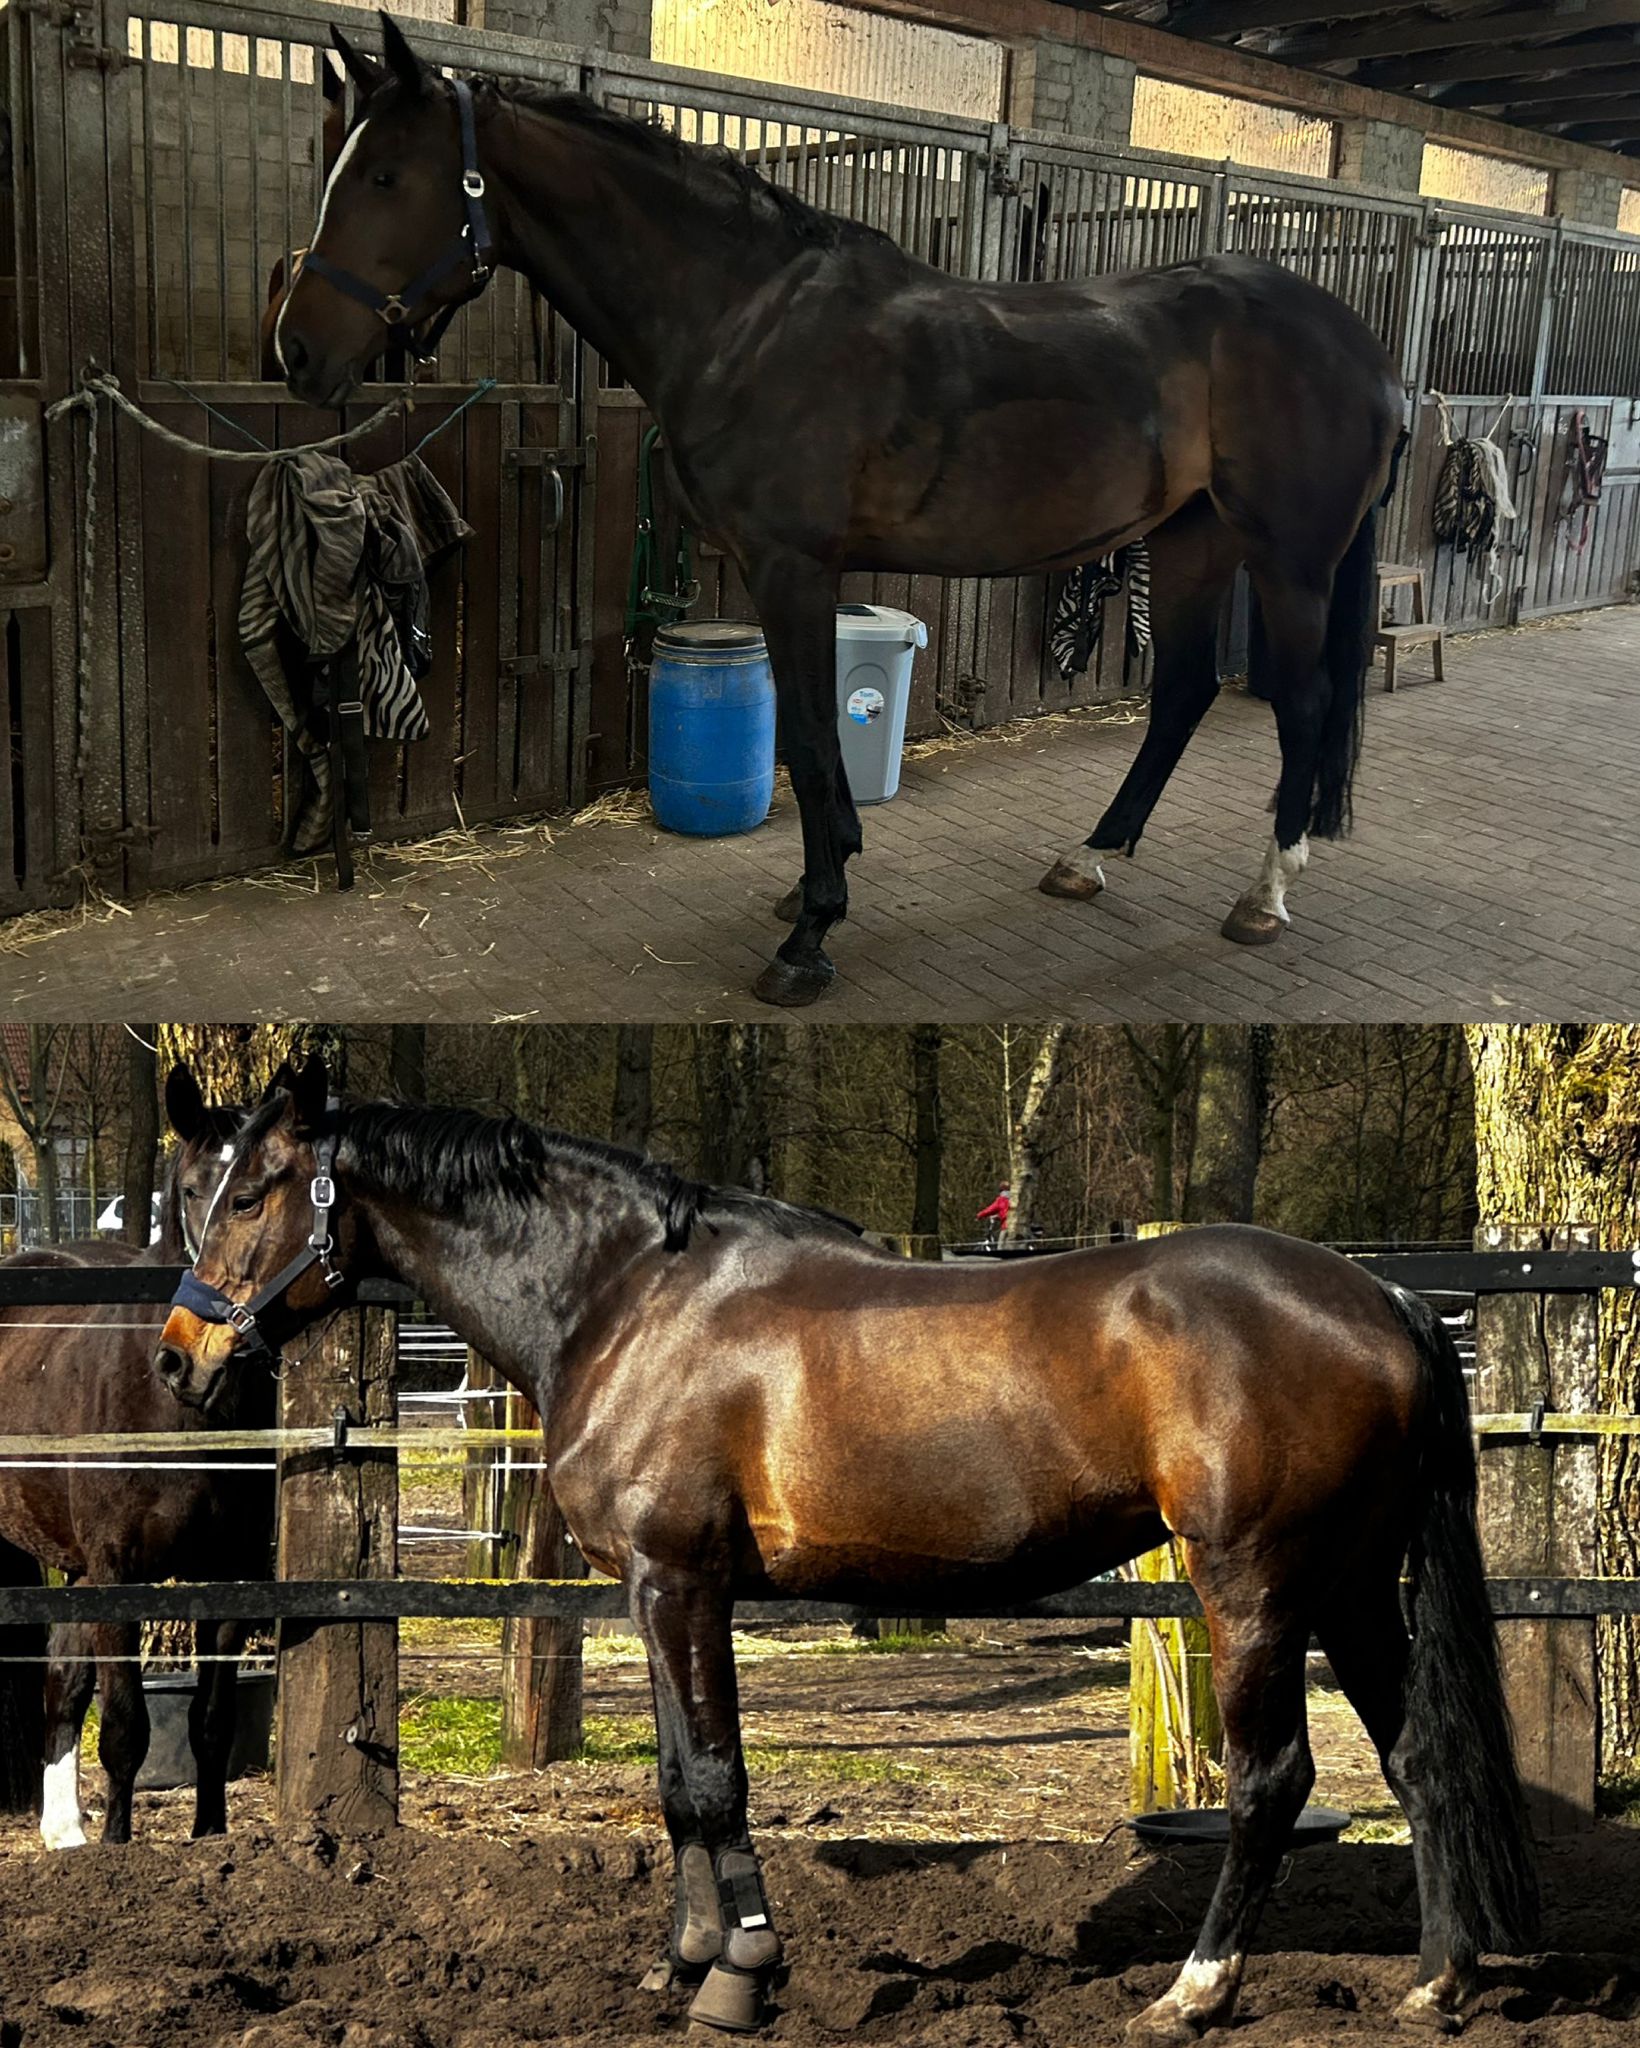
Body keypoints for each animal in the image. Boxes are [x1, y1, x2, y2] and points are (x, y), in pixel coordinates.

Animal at [0, 1068, 266, 1849]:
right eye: (192, 1189)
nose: (210, 1346)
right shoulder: (119, 1571)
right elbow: (125, 1729)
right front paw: (122, 1850)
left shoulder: (232, 1575)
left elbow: (211, 1724)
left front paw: (212, 1837)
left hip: (72, 1564)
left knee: (62, 1685)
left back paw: (65, 1832)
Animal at [156, 1055, 1538, 2045]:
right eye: (192, 1192)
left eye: (253, 1190)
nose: (182, 1357)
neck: (624, 1299)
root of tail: (1386, 1299)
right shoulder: (656, 1590)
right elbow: (676, 1781)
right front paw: (682, 1966)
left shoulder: (681, 1579)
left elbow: (715, 1779)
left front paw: (742, 1975)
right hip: (1348, 1584)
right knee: (1419, 1761)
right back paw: (1439, 1982)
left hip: (1253, 1587)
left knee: (1269, 1781)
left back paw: (1194, 1991)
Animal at [269, 17, 1405, 1009]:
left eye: (384, 175)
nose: (295, 350)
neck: (745, 317)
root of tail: (1359, 344)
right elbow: (803, 742)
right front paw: (816, 889)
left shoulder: (792, 567)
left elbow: (813, 740)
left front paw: (810, 934)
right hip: (1189, 539)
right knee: (1178, 693)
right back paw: (1090, 857)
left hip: (1288, 560)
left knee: (1302, 703)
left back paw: (1263, 895)